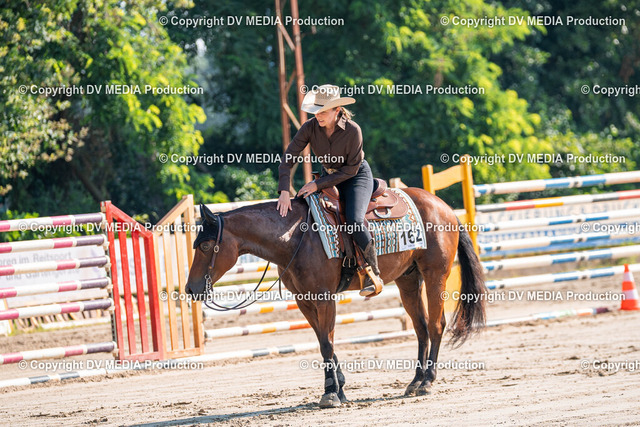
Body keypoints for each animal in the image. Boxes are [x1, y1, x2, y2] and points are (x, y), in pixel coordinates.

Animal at [185, 187, 487, 408]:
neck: (294, 237)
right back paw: (414, 381)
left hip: (435, 275)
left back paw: (427, 382)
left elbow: (328, 343)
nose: (190, 289)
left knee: (436, 325)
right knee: (421, 328)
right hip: (408, 280)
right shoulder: (305, 301)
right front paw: (338, 387)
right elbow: (322, 342)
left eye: (205, 245)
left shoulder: (324, 297)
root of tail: (444, 207)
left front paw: (331, 393)